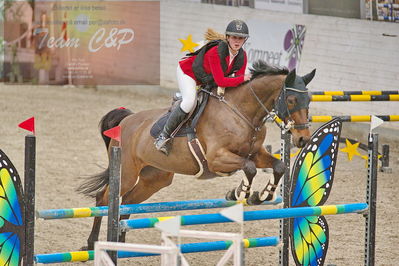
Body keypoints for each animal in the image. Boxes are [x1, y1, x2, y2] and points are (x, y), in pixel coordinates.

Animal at [77, 60, 316, 249]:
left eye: (310, 100)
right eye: (292, 100)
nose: (302, 139)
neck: (242, 113)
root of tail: (126, 120)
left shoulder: (256, 154)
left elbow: (278, 166)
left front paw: (262, 195)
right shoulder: (217, 158)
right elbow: (248, 168)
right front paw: (239, 193)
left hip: (155, 178)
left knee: (127, 202)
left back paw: (120, 243)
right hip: (126, 172)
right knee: (104, 198)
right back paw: (92, 243)